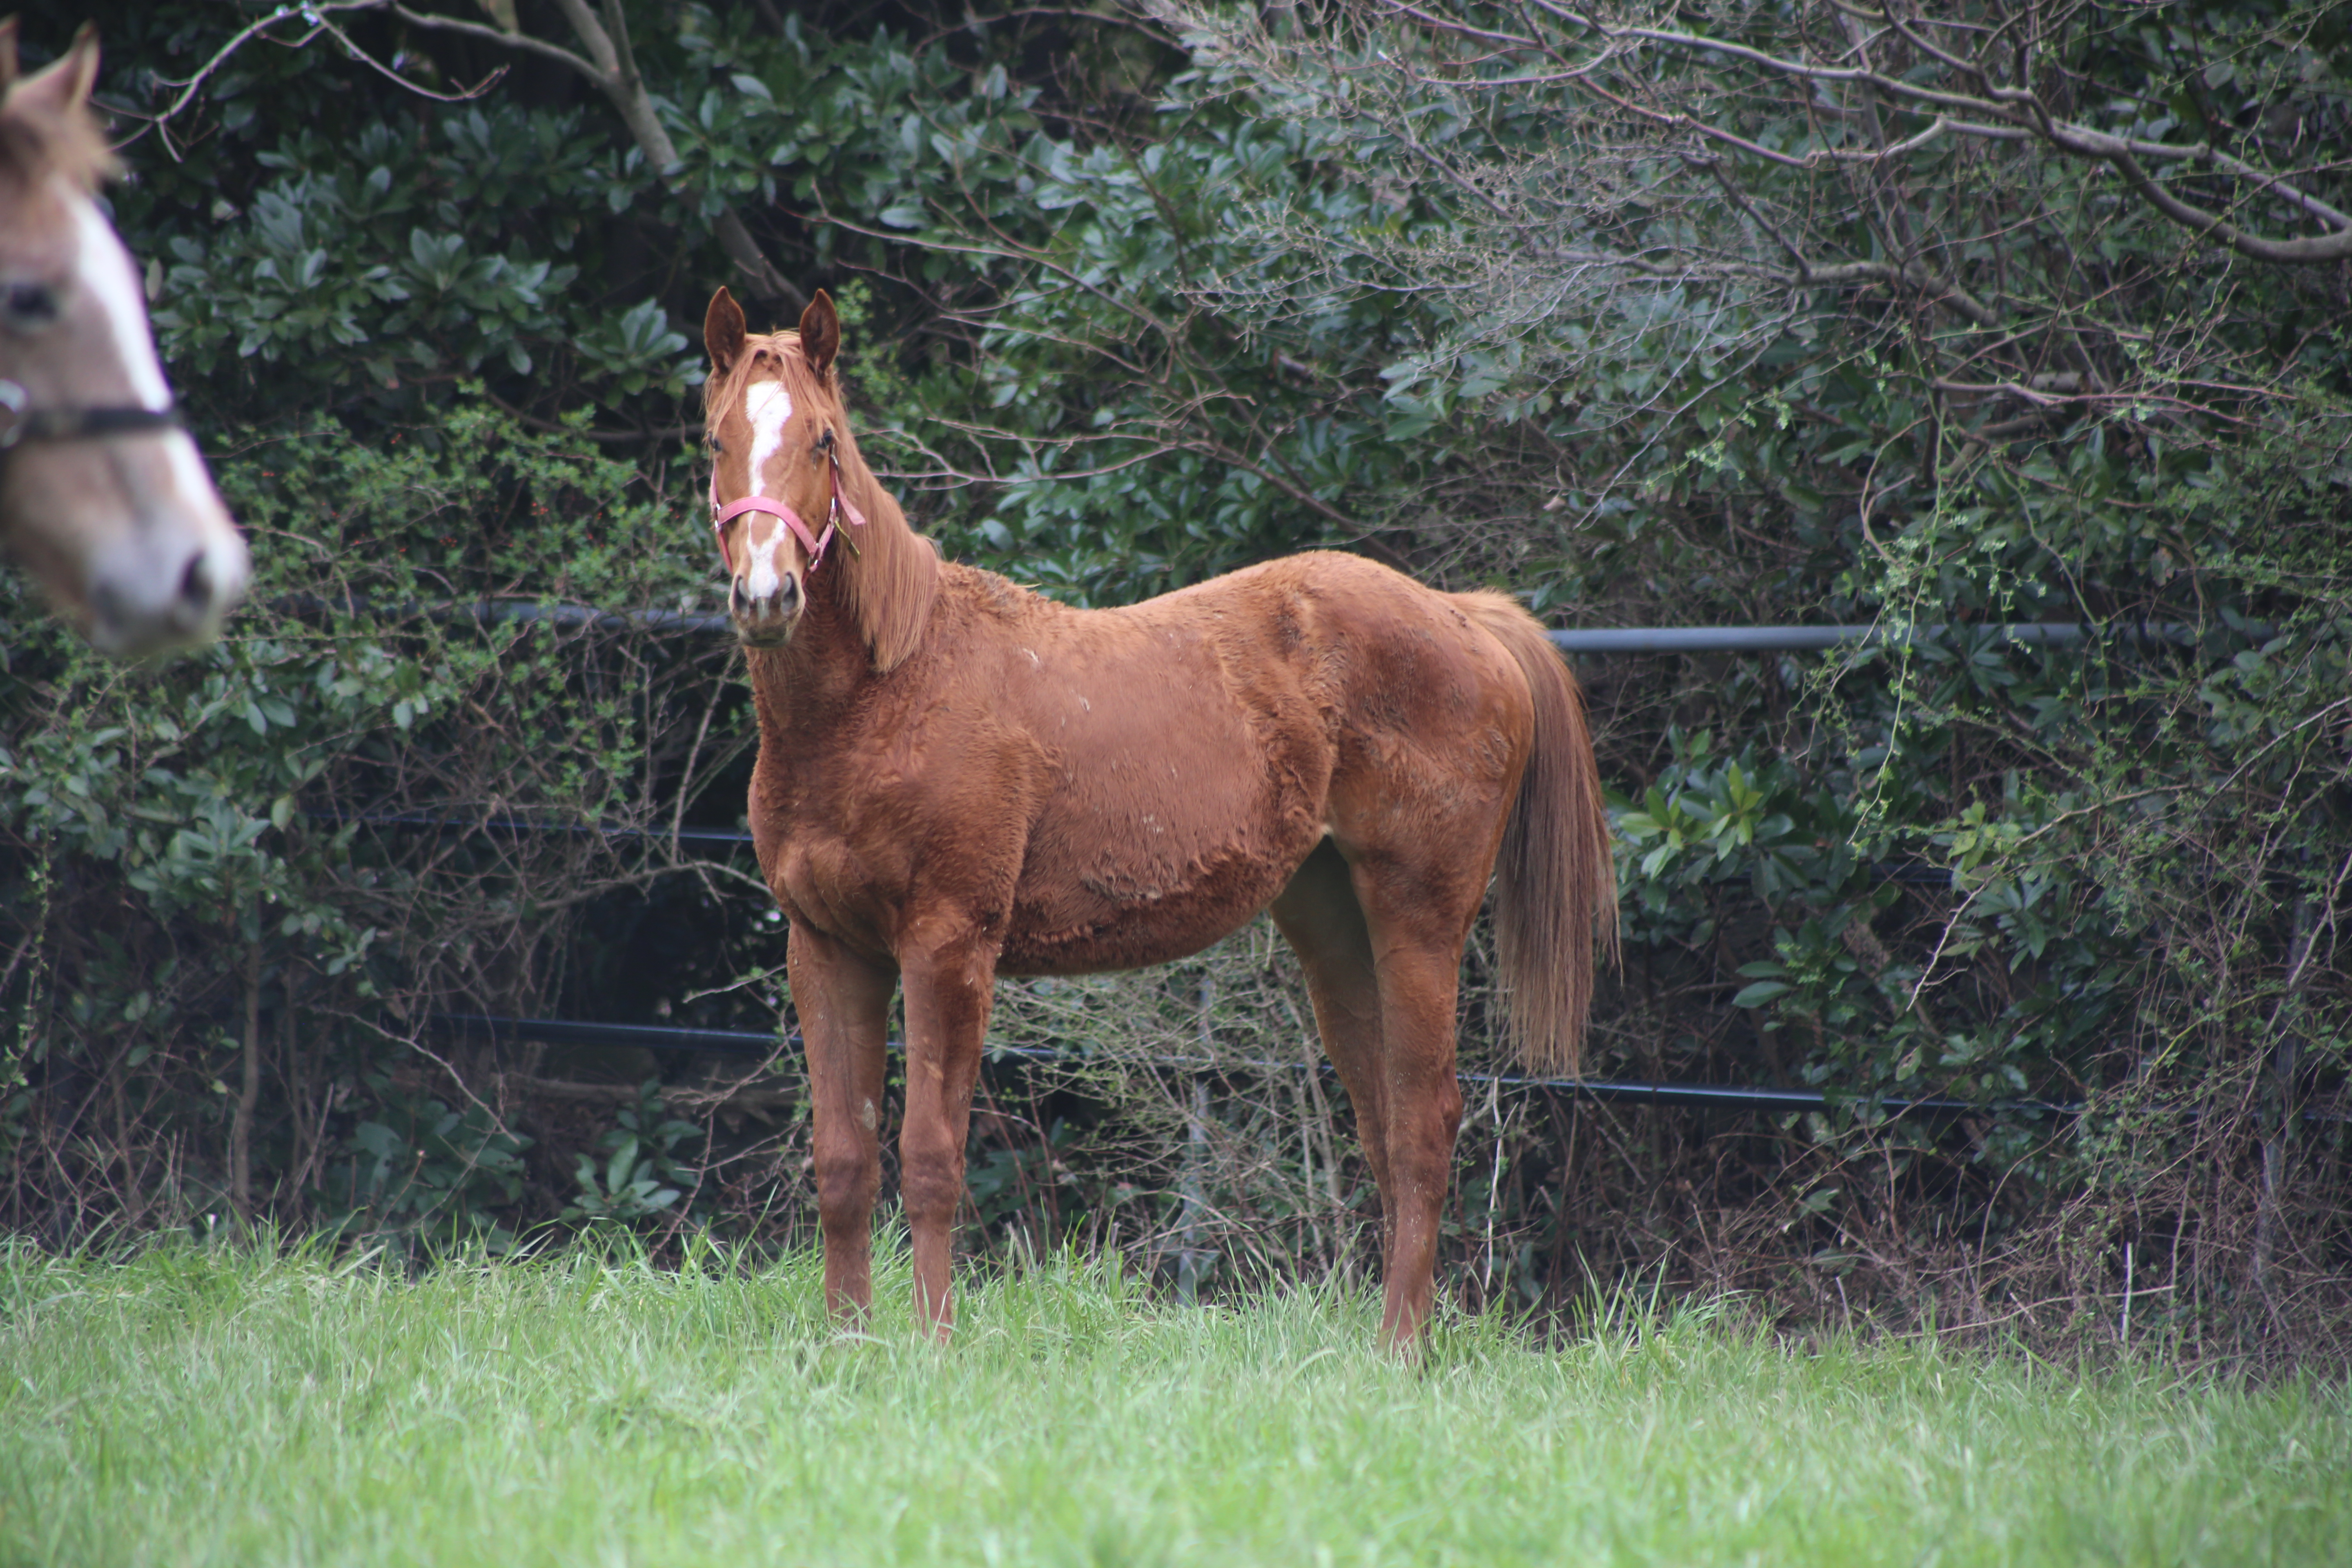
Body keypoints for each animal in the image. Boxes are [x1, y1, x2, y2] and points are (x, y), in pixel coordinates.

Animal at [701, 288, 1618, 1354]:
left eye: (823, 440)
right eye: (717, 440)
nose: (767, 595)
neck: (885, 692)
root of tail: (1467, 616)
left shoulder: (946, 944)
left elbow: (930, 1157)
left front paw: (933, 1348)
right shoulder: (827, 947)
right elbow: (844, 1161)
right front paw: (851, 1348)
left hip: (1420, 920)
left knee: (1427, 1121)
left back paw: (1400, 1353)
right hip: (1333, 923)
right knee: (1386, 1125)